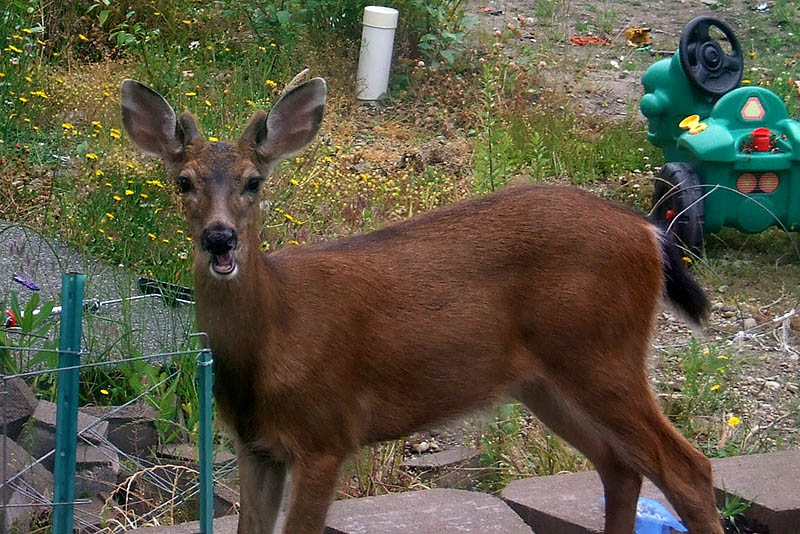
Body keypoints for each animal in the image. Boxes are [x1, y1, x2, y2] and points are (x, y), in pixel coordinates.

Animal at [120, 76, 723, 534]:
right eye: (183, 181)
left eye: (252, 182)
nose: (219, 239)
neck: (274, 338)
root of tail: (649, 233)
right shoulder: (255, 446)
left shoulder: (325, 434)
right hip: (546, 382)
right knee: (620, 469)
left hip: (604, 354)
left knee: (689, 470)